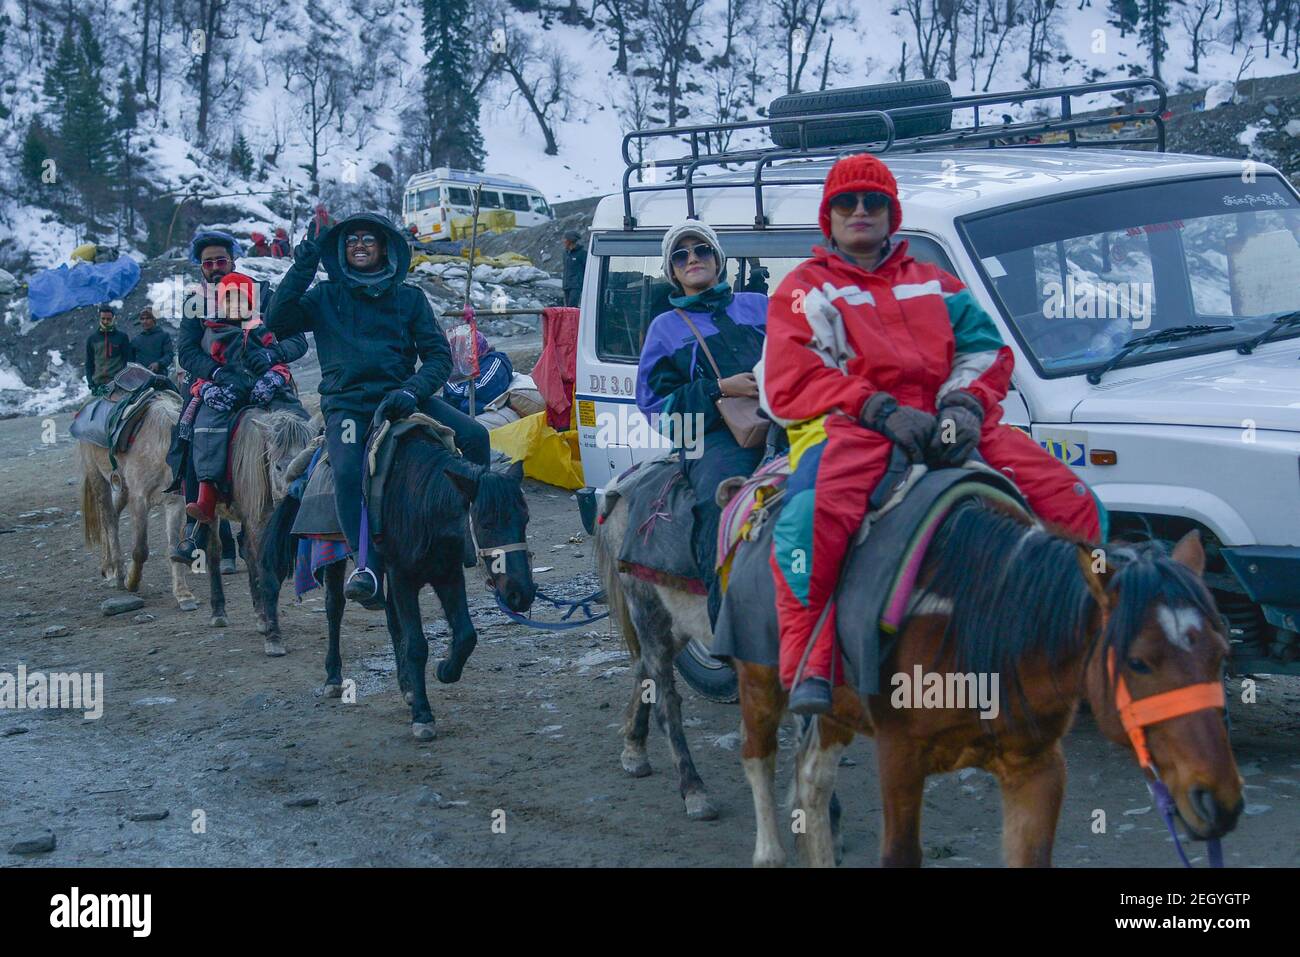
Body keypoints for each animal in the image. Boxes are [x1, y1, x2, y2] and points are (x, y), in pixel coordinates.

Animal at [261, 434, 535, 738]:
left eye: (525, 519)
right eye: (485, 523)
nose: (521, 594)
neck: (422, 502)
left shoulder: (446, 574)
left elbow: (466, 635)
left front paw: (444, 671)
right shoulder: (403, 577)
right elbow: (416, 644)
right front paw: (423, 716)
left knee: (393, 622)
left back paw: (407, 687)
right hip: (333, 555)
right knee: (335, 609)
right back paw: (333, 677)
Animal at [743, 504, 1237, 868]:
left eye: (1220, 654)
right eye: (1137, 662)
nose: (1219, 802)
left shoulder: (1037, 766)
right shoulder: (899, 758)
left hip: (835, 708)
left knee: (812, 781)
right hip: (758, 680)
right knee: (758, 757)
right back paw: (768, 852)